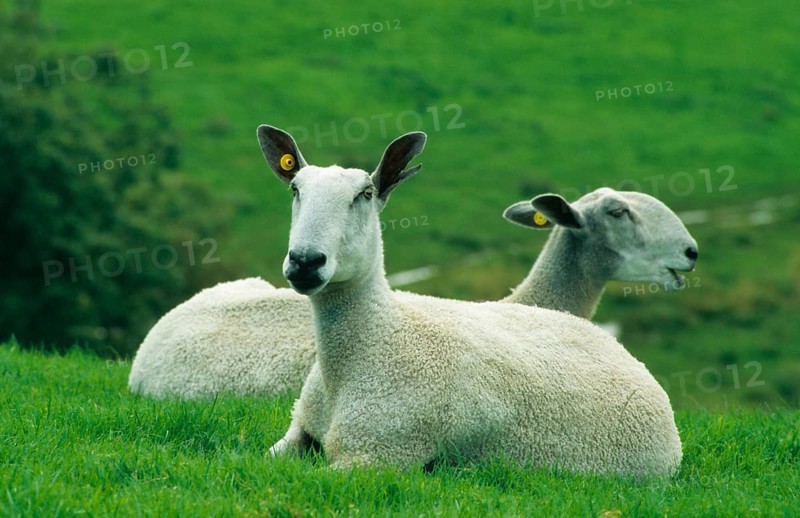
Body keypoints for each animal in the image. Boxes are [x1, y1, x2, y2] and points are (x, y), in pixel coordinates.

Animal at [261, 125, 681, 478]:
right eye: (295, 189)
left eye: (364, 194)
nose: (305, 261)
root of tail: (615, 345)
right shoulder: (297, 429)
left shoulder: (379, 453)